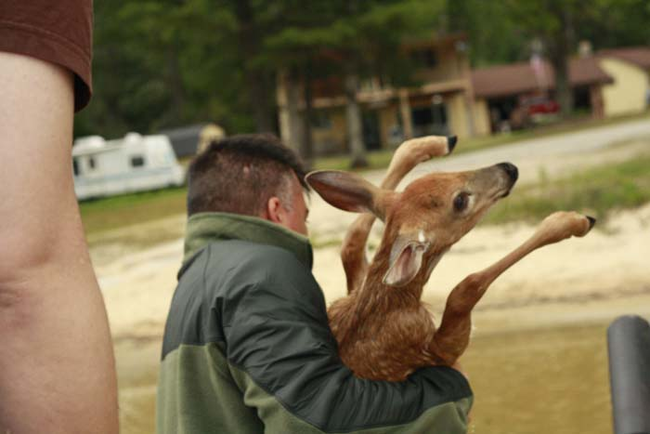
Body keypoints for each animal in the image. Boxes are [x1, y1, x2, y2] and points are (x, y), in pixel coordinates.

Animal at [306, 135, 596, 380]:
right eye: (460, 201)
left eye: (440, 174)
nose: (509, 168)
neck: (389, 305)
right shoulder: (438, 352)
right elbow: (466, 288)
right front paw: (575, 221)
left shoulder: (350, 291)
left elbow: (352, 240)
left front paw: (431, 144)